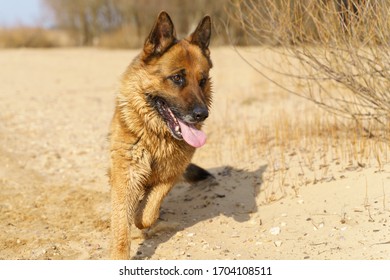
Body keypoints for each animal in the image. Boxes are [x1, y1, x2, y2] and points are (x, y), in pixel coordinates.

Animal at [109, 12, 213, 260]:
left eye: (202, 80)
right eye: (177, 78)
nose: (202, 114)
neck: (156, 136)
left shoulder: (171, 174)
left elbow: (147, 213)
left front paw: (141, 215)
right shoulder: (126, 176)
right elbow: (121, 225)